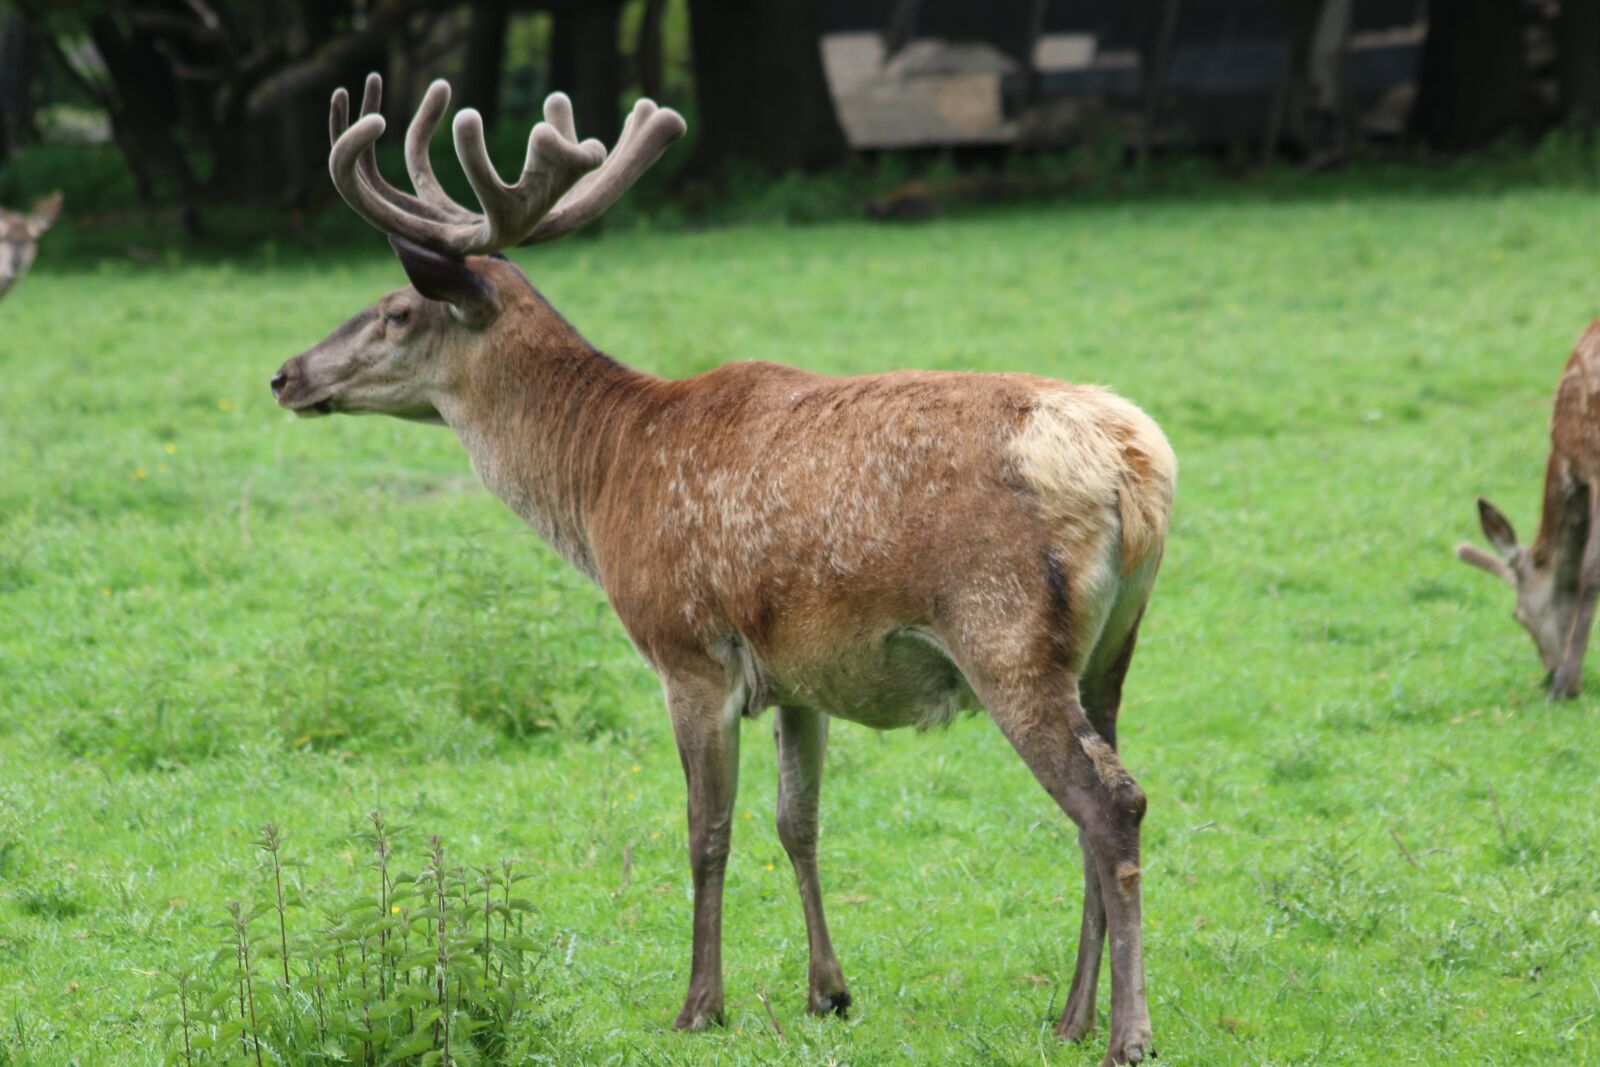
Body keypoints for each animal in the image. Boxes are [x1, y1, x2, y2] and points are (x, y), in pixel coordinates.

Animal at [271, 73, 1176, 1066]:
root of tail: (1137, 470)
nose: (285, 374)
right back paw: (1072, 1014)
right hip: (1111, 649)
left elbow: (707, 829)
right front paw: (828, 991)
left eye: (396, 310)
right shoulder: (803, 672)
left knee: (1110, 803)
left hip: (1007, 632)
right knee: (1102, 797)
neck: (605, 487)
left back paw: (1125, 1031)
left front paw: (700, 1002)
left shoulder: (687, 650)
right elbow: (798, 821)